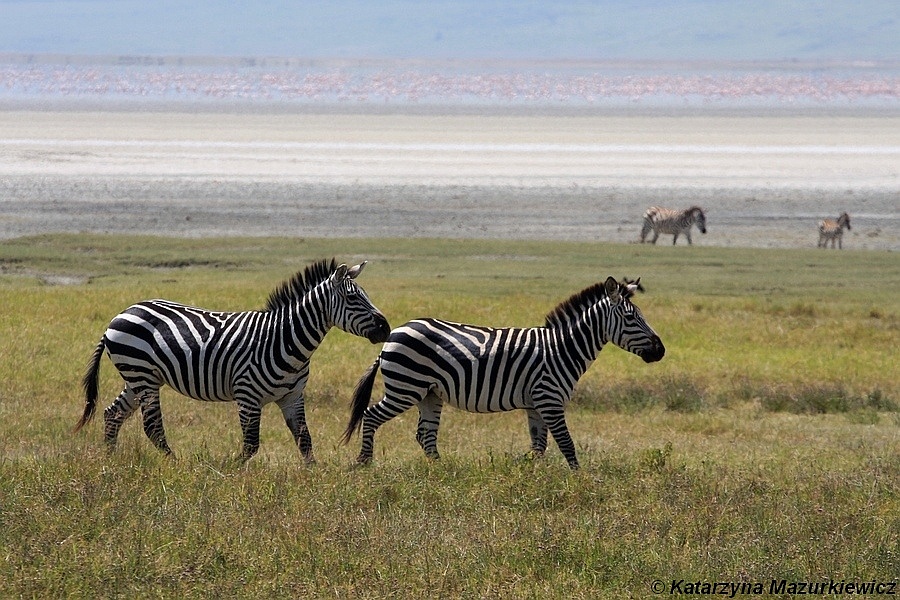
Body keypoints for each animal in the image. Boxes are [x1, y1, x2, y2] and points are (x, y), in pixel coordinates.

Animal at [74, 258, 390, 464]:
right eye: (353, 299)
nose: (386, 329)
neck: (285, 339)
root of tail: (122, 313)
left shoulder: (292, 397)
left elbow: (305, 441)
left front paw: (313, 478)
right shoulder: (247, 395)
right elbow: (251, 446)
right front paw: (231, 471)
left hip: (138, 377)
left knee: (113, 413)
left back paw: (110, 460)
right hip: (142, 375)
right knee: (152, 427)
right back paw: (174, 464)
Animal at [342, 276, 664, 468]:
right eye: (631, 319)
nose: (661, 350)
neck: (562, 349)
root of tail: (394, 333)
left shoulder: (536, 405)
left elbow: (539, 446)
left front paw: (533, 475)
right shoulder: (549, 400)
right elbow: (567, 445)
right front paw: (579, 480)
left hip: (429, 394)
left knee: (426, 435)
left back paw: (442, 472)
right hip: (405, 387)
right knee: (372, 416)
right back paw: (364, 462)